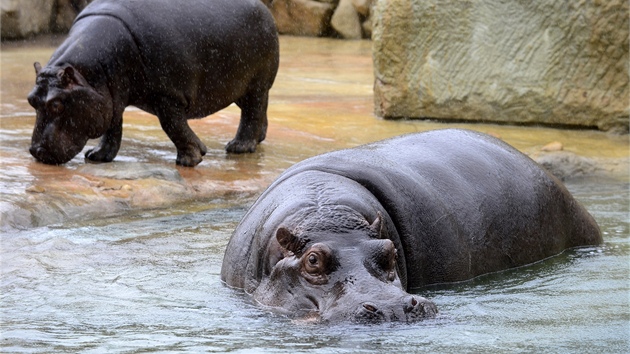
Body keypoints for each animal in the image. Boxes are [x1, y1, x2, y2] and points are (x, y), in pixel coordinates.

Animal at [27, 0, 278, 167]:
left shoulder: (167, 95)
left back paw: (239, 148)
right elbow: (113, 127)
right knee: (257, 110)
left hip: (256, 83)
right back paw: (259, 138)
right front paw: (96, 156)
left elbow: (173, 125)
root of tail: (263, 7)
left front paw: (190, 160)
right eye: (31, 100)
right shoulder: (112, 94)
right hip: (240, 88)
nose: (35, 151)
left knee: (253, 111)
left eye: (57, 104)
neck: (87, 76)